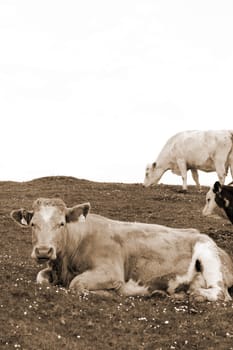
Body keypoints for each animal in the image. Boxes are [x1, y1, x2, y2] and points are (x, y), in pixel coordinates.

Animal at [10, 198, 233, 302]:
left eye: (62, 223)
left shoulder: (111, 272)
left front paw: (109, 294)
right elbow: (40, 277)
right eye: (33, 224)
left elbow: (77, 284)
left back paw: (194, 295)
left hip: (209, 256)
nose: (43, 251)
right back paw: (165, 294)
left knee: (221, 293)